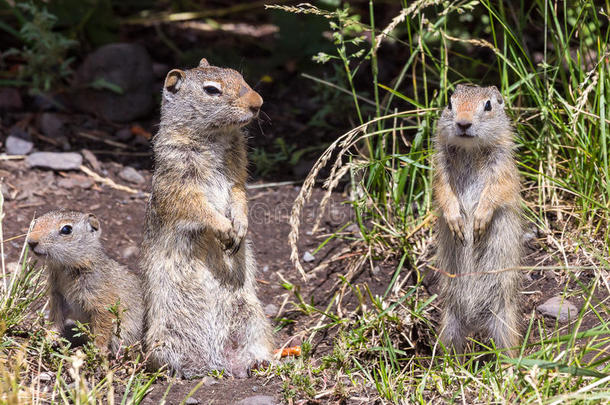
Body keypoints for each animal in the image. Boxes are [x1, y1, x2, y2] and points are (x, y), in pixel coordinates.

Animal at [27, 210, 145, 352]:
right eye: (36, 222)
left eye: (66, 229)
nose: (31, 242)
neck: (66, 268)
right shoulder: (57, 298)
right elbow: (55, 319)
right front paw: (49, 338)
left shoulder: (102, 302)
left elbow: (102, 327)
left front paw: (97, 350)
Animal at [140, 58, 274, 378]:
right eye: (212, 90)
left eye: (239, 75)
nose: (258, 103)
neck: (215, 137)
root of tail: (215, 363)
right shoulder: (180, 183)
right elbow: (198, 208)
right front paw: (224, 227)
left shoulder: (237, 177)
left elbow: (239, 197)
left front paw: (240, 225)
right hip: (165, 333)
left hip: (252, 317)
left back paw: (257, 363)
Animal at [432, 83, 524, 354]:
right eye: (449, 103)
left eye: (488, 105)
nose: (463, 123)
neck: (469, 150)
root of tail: (474, 322)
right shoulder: (440, 169)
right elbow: (443, 191)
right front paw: (456, 221)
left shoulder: (503, 167)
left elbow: (497, 191)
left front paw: (479, 220)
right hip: (449, 324)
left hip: (504, 319)